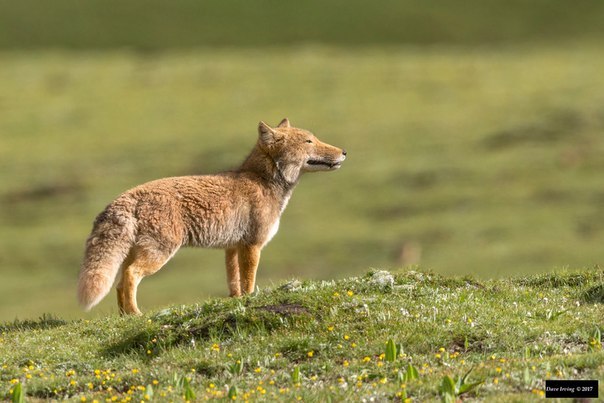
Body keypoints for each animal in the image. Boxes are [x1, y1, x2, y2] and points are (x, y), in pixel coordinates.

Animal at [78, 120, 346, 316]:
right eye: (309, 141)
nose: (344, 152)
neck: (261, 180)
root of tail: (124, 199)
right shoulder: (252, 245)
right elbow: (249, 281)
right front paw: (250, 299)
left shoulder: (232, 247)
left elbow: (234, 284)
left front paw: (237, 301)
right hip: (158, 255)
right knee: (130, 276)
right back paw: (135, 314)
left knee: (120, 283)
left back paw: (125, 316)